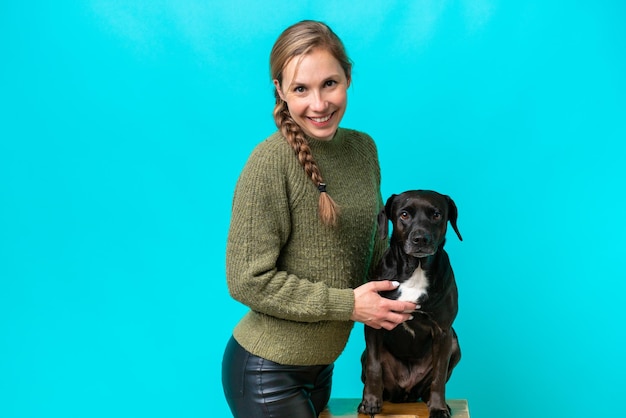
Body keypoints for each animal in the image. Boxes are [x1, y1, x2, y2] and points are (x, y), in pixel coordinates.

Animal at [358, 190, 460, 418]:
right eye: (404, 214)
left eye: (436, 215)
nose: (420, 238)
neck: (416, 269)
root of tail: (405, 393)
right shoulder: (373, 324)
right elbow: (374, 367)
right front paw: (370, 402)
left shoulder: (443, 331)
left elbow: (439, 376)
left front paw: (438, 407)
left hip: (455, 344)